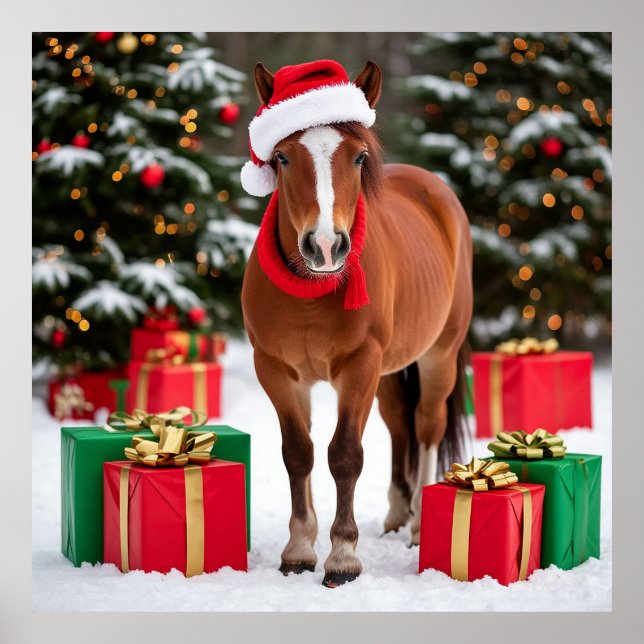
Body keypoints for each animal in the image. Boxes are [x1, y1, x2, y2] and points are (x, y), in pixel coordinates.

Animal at [241, 60, 473, 587]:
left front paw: (342, 557)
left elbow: (344, 454)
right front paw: (299, 548)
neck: (312, 292)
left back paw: (418, 523)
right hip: (389, 372)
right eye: (282, 157)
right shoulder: (276, 371)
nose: (325, 245)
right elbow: (298, 452)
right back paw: (397, 512)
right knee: (400, 425)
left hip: (439, 357)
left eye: (359, 157)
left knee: (426, 426)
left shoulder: (359, 366)